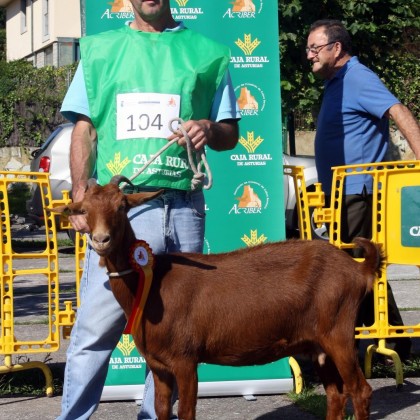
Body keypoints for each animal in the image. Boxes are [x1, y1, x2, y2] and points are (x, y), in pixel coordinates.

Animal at [50, 178, 384, 420]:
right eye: (84, 210)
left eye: (122, 207)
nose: (101, 240)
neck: (151, 283)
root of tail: (357, 269)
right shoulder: (158, 364)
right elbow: (161, 410)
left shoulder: (185, 359)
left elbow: (186, 411)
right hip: (318, 345)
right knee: (336, 395)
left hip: (338, 332)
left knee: (361, 391)